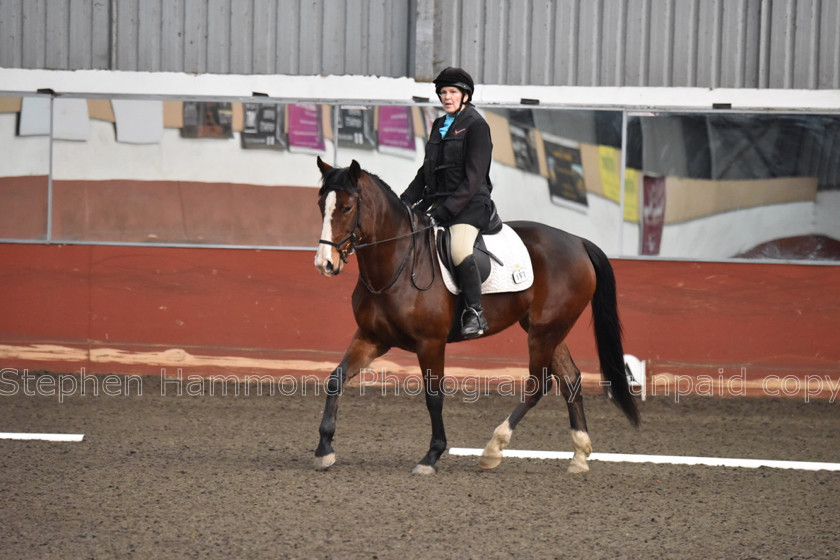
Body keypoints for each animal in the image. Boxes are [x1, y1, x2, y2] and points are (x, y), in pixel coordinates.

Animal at [314, 156, 636, 472]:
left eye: (347, 207)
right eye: (321, 206)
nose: (324, 264)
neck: (397, 264)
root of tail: (578, 241)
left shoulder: (430, 343)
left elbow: (434, 397)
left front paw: (432, 455)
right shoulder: (372, 338)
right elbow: (335, 379)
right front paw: (325, 449)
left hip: (545, 332)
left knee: (538, 385)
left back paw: (493, 448)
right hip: (548, 328)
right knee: (570, 378)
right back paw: (579, 456)